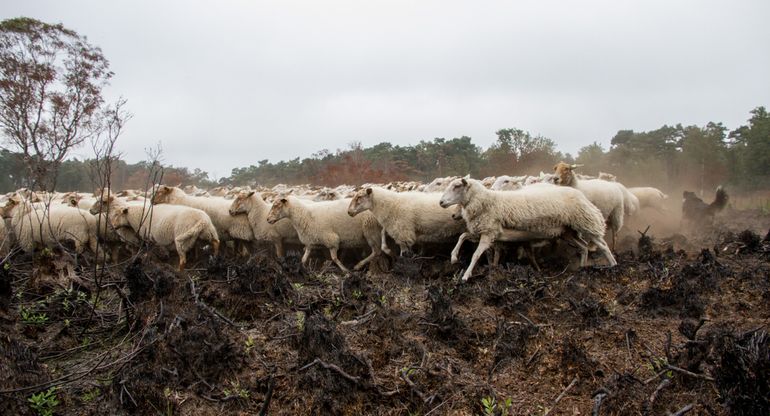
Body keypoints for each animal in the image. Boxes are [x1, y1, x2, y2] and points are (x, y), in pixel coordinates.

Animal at [92, 194, 222, 270]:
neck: (137, 215)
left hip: (183, 238)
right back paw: (215, 258)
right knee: (216, 242)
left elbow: (139, 251)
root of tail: (203, 220)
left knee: (183, 260)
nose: (113, 227)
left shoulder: (145, 236)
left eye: (117, 215)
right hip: (207, 233)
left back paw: (178, 271)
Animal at [438, 177, 612, 282]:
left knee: (603, 246)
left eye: (457, 186)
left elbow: (475, 255)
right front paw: (453, 257)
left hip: (586, 223)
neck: (487, 201)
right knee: (583, 247)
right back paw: (582, 269)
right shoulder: (481, 231)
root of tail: (581, 195)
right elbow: (462, 236)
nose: (441, 202)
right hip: (568, 231)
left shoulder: (489, 232)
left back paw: (613, 265)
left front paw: (466, 275)